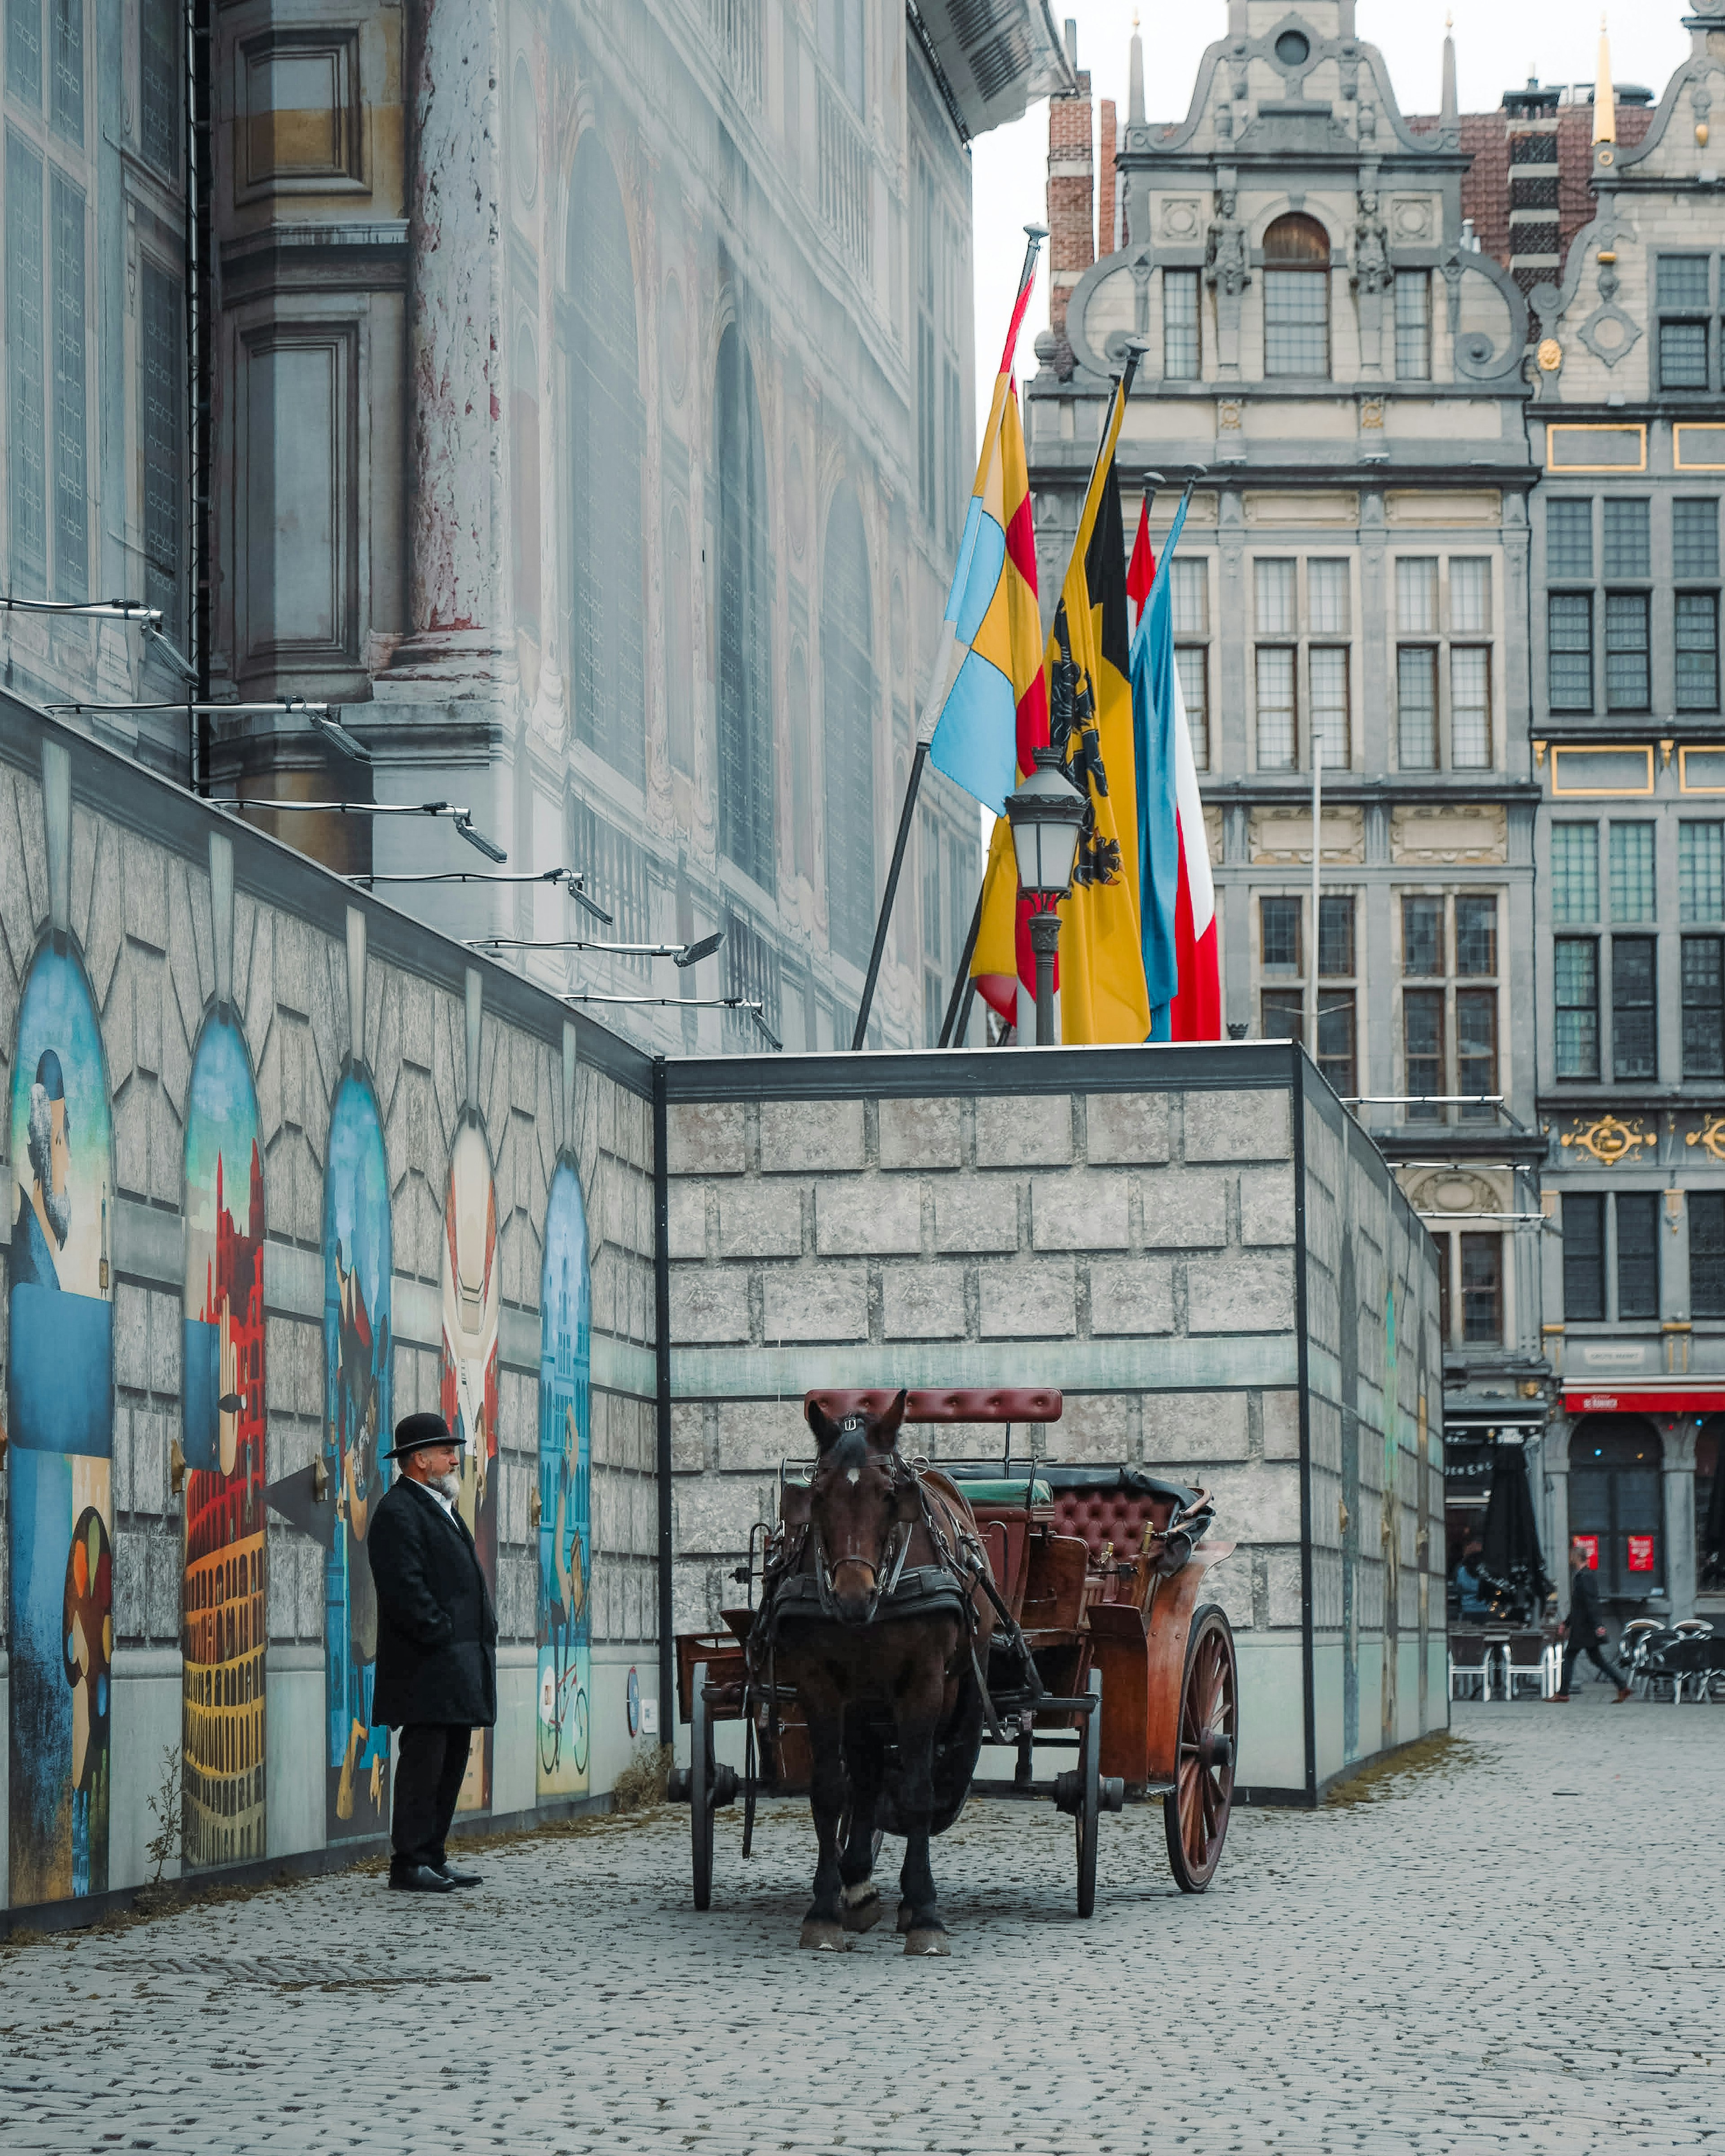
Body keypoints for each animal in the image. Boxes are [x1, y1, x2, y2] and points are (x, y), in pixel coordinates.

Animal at [767, 1388, 996, 1966]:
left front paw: (927, 1914)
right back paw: (858, 1887)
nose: (853, 1596)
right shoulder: (821, 1684)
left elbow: (916, 1792)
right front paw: (825, 1910)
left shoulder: (925, 1683)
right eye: (818, 1494)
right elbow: (831, 1790)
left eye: (890, 1495)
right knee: (867, 1777)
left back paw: (906, 1902)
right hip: (865, 1700)